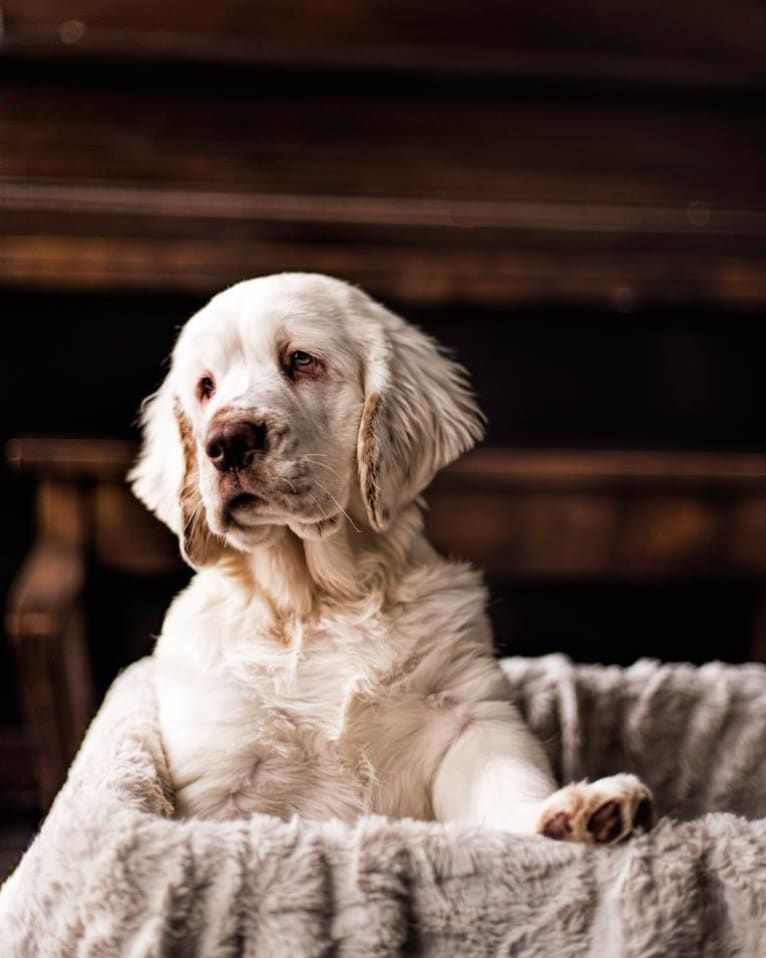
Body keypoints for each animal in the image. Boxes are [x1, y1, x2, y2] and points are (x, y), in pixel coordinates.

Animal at [130, 274, 656, 844]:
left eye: (301, 360)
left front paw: (572, 812)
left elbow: (510, 781)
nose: (225, 442)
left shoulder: (470, 719)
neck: (318, 601)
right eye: (205, 387)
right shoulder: (221, 773)